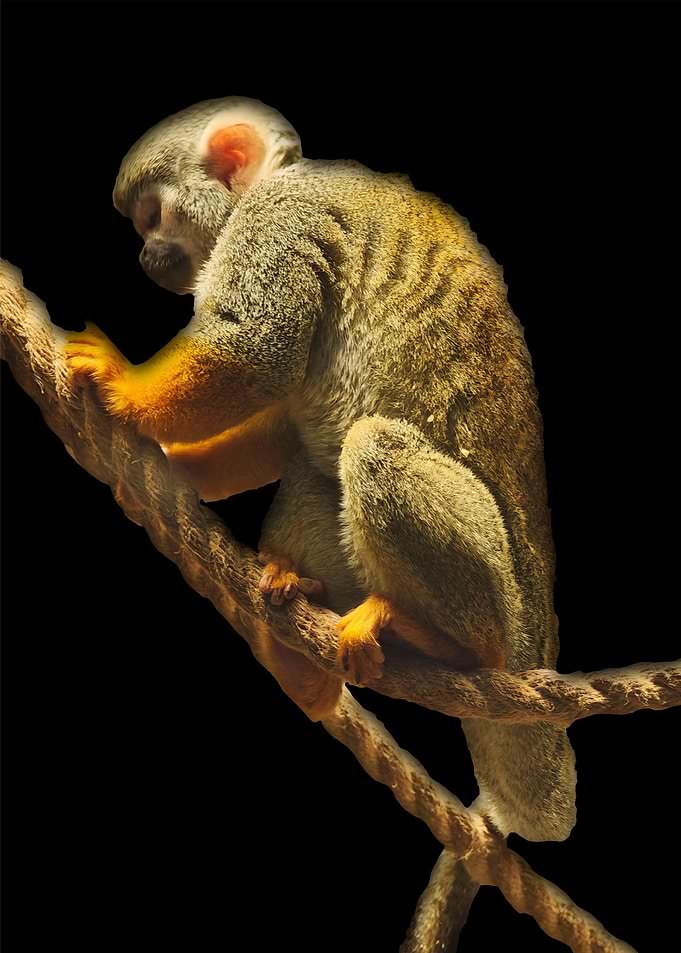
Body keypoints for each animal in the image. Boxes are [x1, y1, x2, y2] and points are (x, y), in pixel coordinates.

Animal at [64, 96, 576, 843]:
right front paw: (176, 469)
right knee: (318, 463)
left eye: (151, 217)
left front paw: (122, 390)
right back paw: (301, 656)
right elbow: (283, 424)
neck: (274, 182)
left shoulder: (279, 223)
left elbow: (255, 352)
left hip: (504, 604)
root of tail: (536, 650)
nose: (143, 254)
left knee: (368, 446)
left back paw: (444, 641)